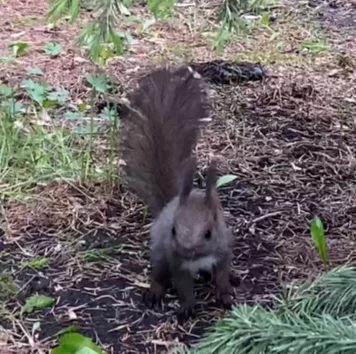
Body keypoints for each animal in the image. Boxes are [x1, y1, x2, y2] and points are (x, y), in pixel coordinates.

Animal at [119, 64, 234, 320]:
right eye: (174, 230)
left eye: (208, 233)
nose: (186, 249)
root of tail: (170, 202)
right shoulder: (176, 262)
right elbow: (183, 286)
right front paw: (187, 307)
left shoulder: (222, 252)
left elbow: (222, 276)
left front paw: (225, 295)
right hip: (160, 253)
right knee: (159, 274)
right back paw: (155, 292)